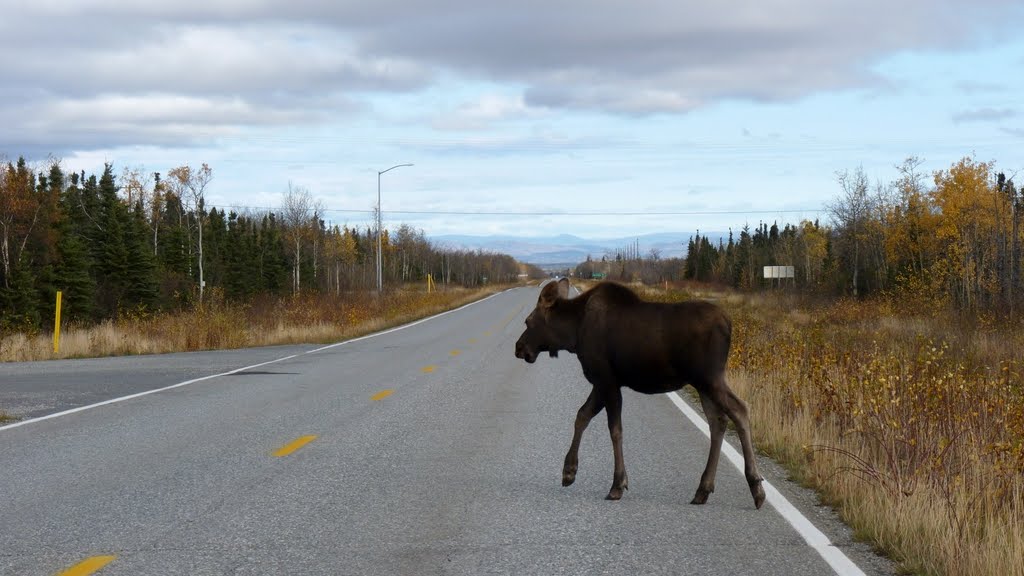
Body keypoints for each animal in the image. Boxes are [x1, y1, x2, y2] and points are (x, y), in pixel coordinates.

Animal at [516, 278, 765, 506]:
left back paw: (756, 487)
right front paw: (569, 471)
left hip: (709, 377)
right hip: (703, 383)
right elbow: (582, 416)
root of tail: (729, 324)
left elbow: (614, 430)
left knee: (740, 409)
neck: (572, 334)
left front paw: (617, 484)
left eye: (528, 321)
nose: (519, 347)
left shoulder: (606, 380)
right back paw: (703, 489)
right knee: (718, 421)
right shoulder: (603, 383)